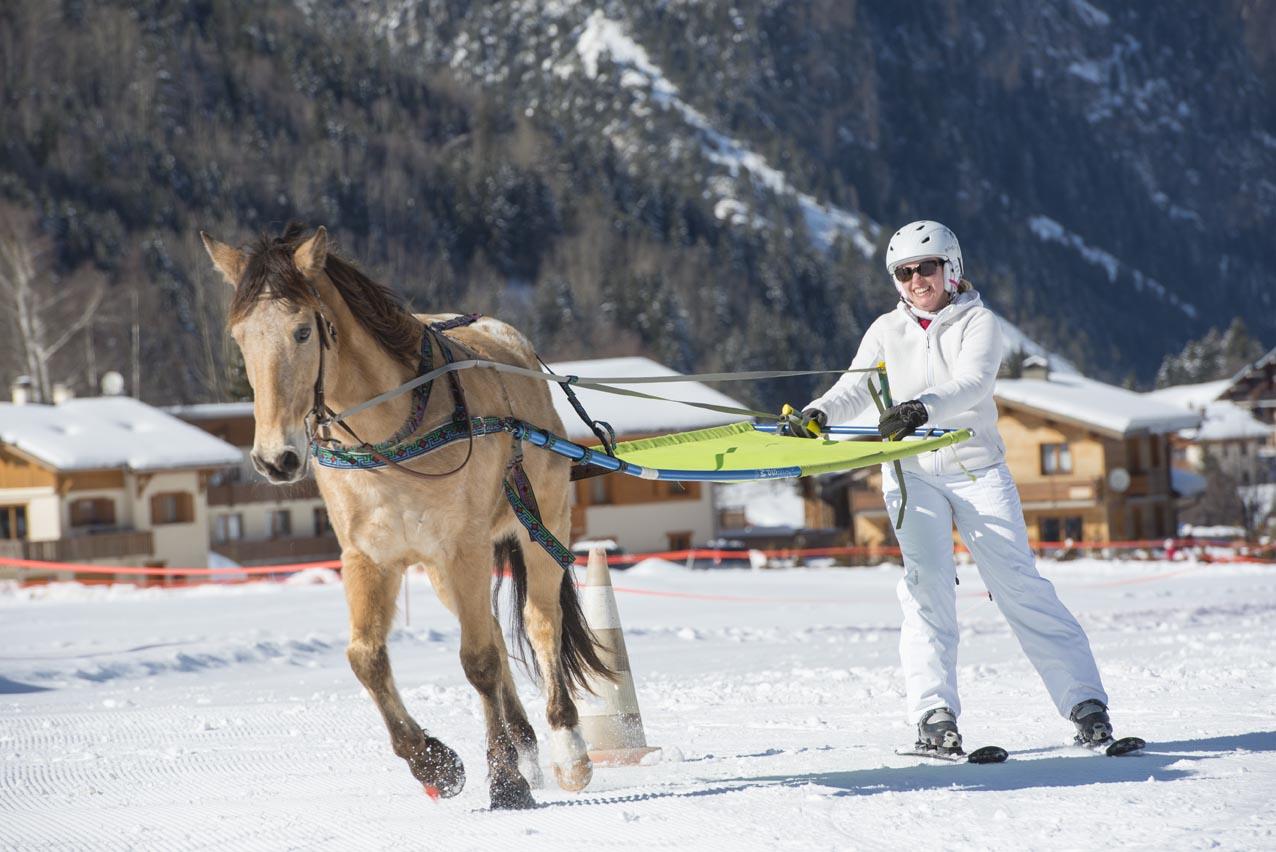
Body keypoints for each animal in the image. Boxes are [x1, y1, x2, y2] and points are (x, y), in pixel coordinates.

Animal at [200, 223, 612, 811]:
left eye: (302, 332)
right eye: (240, 338)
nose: (275, 459)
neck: (392, 434)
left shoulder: (464, 548)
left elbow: (479, 661)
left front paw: (505, 782)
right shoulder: (369, 558)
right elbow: (367, 658)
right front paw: (433, 762)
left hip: (542, 528)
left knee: (540, 625)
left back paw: (567, 749)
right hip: (443, 570)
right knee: (491, 629)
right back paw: (526, 747)